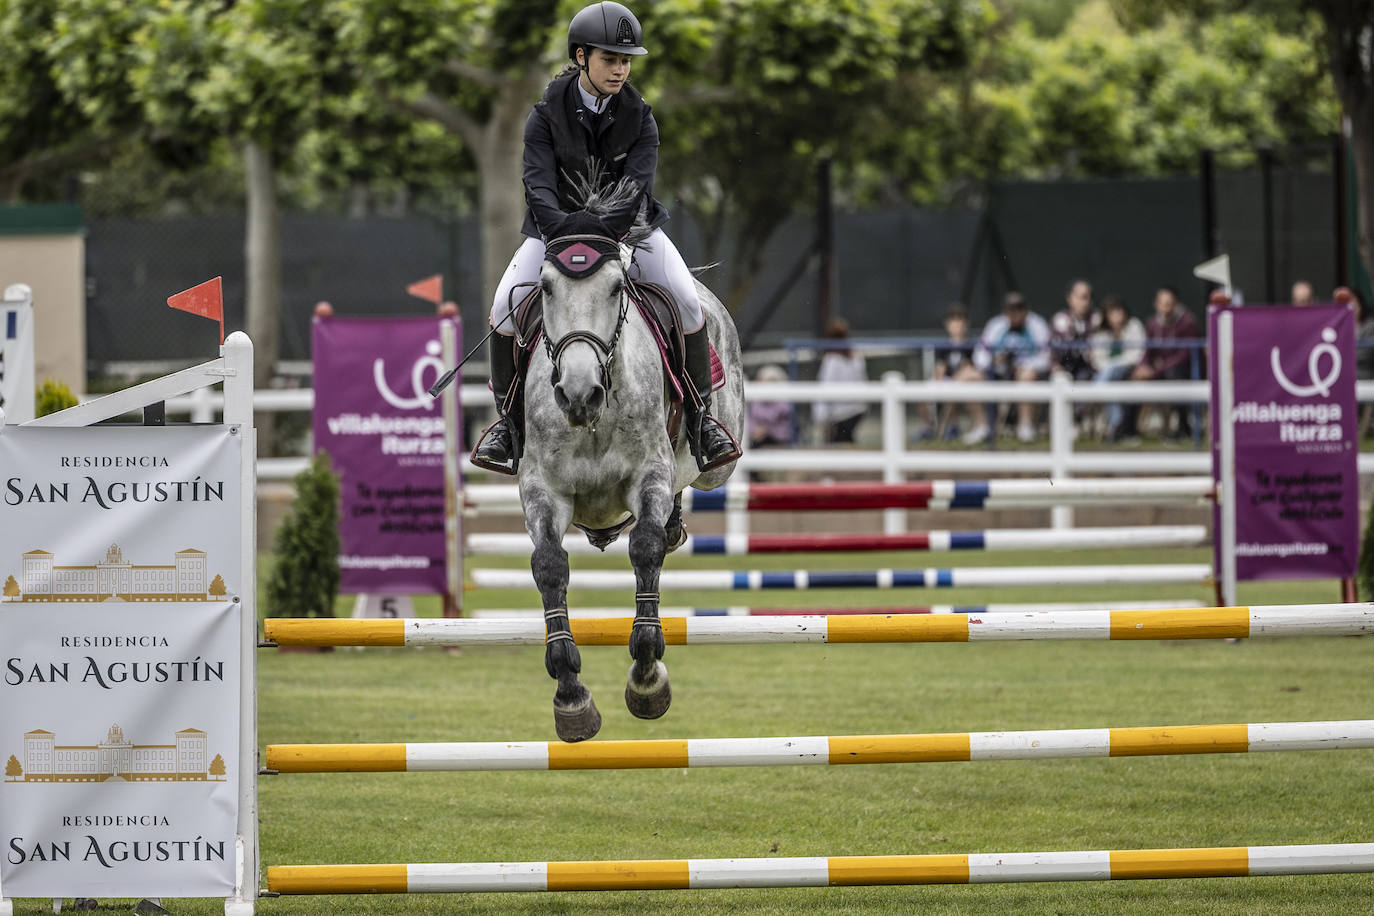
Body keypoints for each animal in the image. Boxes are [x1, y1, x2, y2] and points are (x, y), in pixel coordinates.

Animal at [516, 182, 747, 741]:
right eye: (546, 288)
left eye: (617, 288)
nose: (579, 394)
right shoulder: (542, 490)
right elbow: (549, 566)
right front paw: (572, 697)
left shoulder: (650, 476)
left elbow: (645, 548)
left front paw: (647, 679)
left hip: (717, 467)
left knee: (689, 486)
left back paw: (677, 520)